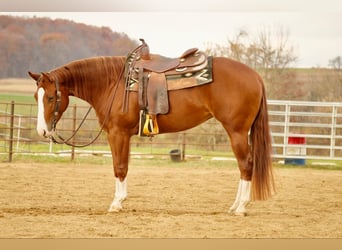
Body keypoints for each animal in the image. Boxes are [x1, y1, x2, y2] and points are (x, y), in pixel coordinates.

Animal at [29, 52, 276, 215]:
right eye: (35, 97)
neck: (112, 83)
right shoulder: (124, 135)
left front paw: (116, 204)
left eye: (50, 97)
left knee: (246, 165)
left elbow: (119, 167)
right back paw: (234, 206)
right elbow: (124, 166)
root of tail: (255, 76)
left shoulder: (117, 133)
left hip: (237, 131)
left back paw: (241, 207)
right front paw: (121, 201)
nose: (43, 130)